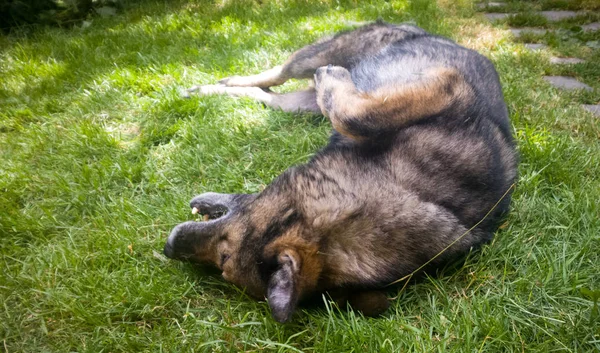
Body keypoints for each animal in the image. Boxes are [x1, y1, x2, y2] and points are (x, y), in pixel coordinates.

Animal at [162, 21, 516, 322]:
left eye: (222, 260)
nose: (168, 247)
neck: (412, 190)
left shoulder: (445, 87)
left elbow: (355, 116)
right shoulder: (448, 85)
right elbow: (359, 116)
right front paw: (335, 81)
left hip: (299, 104)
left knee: (267, 95)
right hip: (319, 56)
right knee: (273, 75)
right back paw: (211, 86)